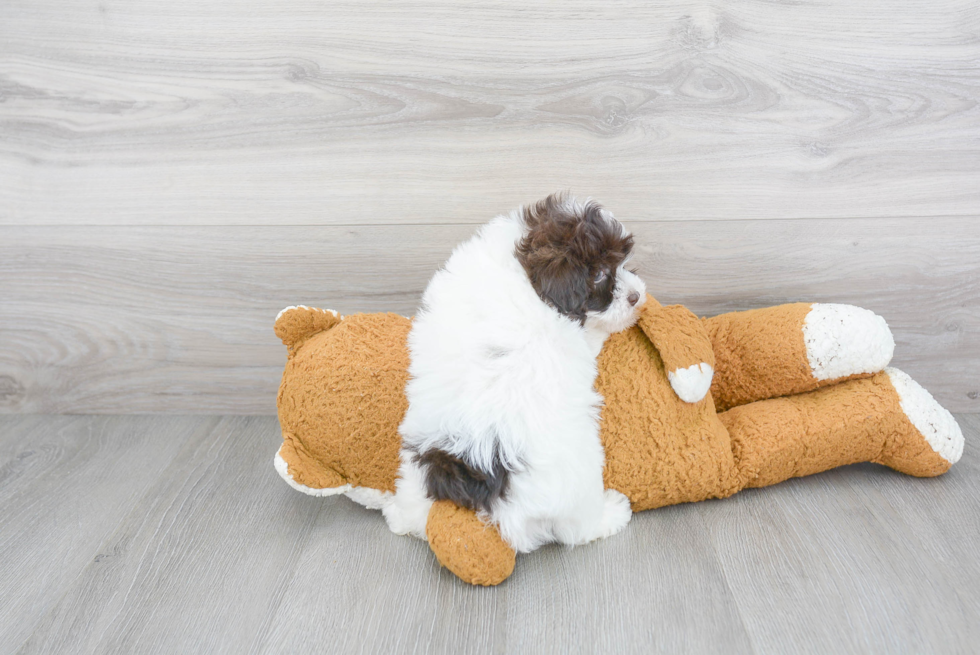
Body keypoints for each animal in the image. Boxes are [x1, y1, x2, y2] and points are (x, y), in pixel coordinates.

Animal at [384, 191, 652, 552]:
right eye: (598, 275)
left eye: (621, 263)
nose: (636, 296)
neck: (526, 273)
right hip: (579, 474)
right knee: (577, 528)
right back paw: (611, 514)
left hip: (416, 456)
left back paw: (399, 514)